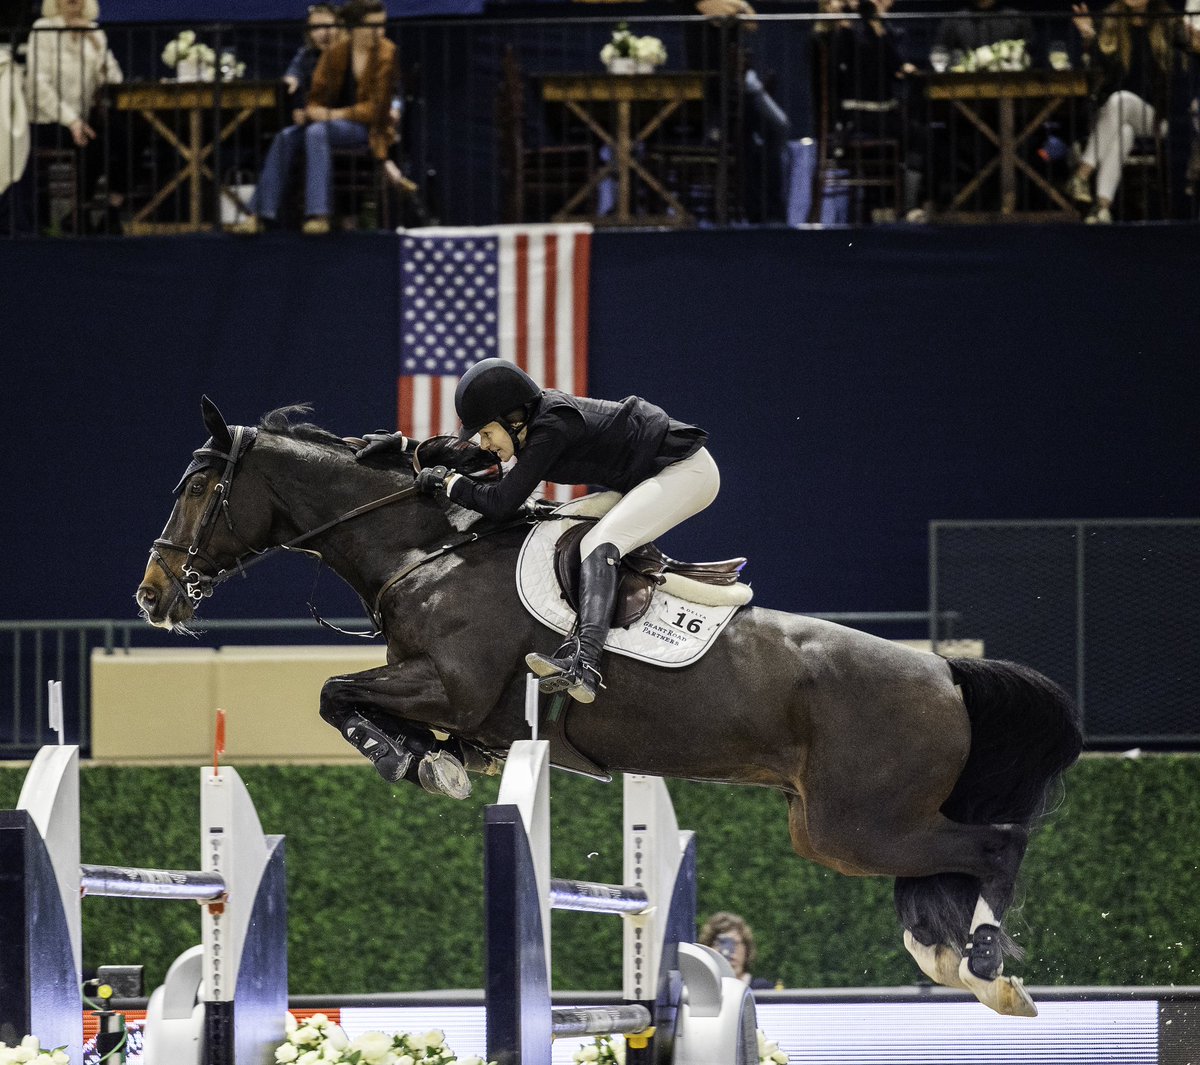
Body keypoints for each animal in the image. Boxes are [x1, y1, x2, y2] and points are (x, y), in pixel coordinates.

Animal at [136, 398, 1084, 1017]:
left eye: (197, 488)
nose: (152, 596)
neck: (425, 551)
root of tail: (947, 674)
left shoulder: (450, 682)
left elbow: (334, 692)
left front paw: (421, 760)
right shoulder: (453, 697)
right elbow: (356, 701)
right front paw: (433, 758)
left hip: (858, 823)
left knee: (994, 844)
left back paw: (986, 965)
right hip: (839, 827)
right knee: (949, 870)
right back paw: (959, 963)